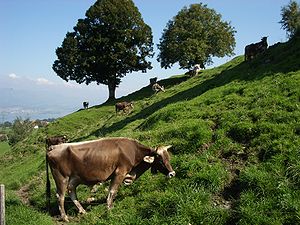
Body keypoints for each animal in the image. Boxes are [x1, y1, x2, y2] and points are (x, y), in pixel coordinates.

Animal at [45, 137, 175, 221]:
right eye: (159, 159)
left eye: (168, 157)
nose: (172, 174)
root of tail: (53, 147)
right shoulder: (119, 172)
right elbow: (112, 191)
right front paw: (109, 209)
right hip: (61, 178)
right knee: (60, 196)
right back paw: (65, 217)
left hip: (74, 179)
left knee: (72, 193)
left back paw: (83, 211)